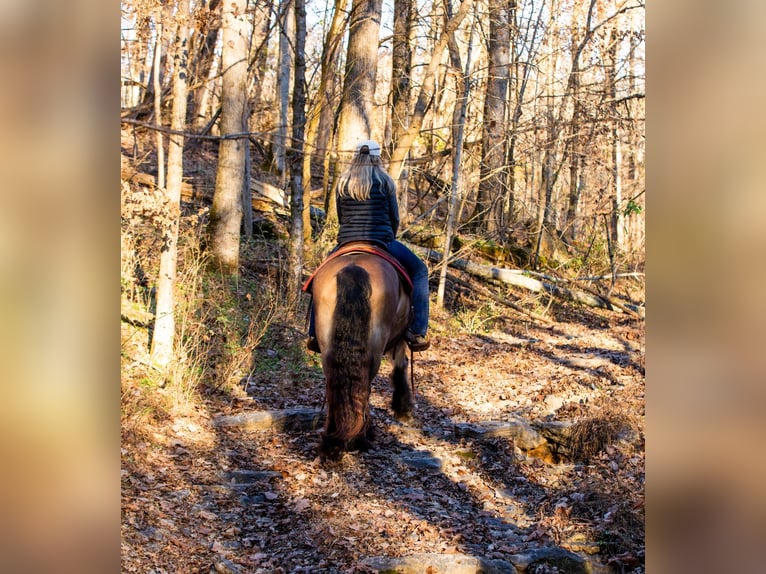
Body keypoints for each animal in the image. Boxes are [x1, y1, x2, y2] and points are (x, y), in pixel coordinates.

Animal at [308, 243, 414, 462]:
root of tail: (354, 267)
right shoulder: (400, 337)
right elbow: (401, 364)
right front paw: (403, 408)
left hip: (327, 341)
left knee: (334, 383)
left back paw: (332, 441)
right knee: (365, 385)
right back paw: (360, 438)